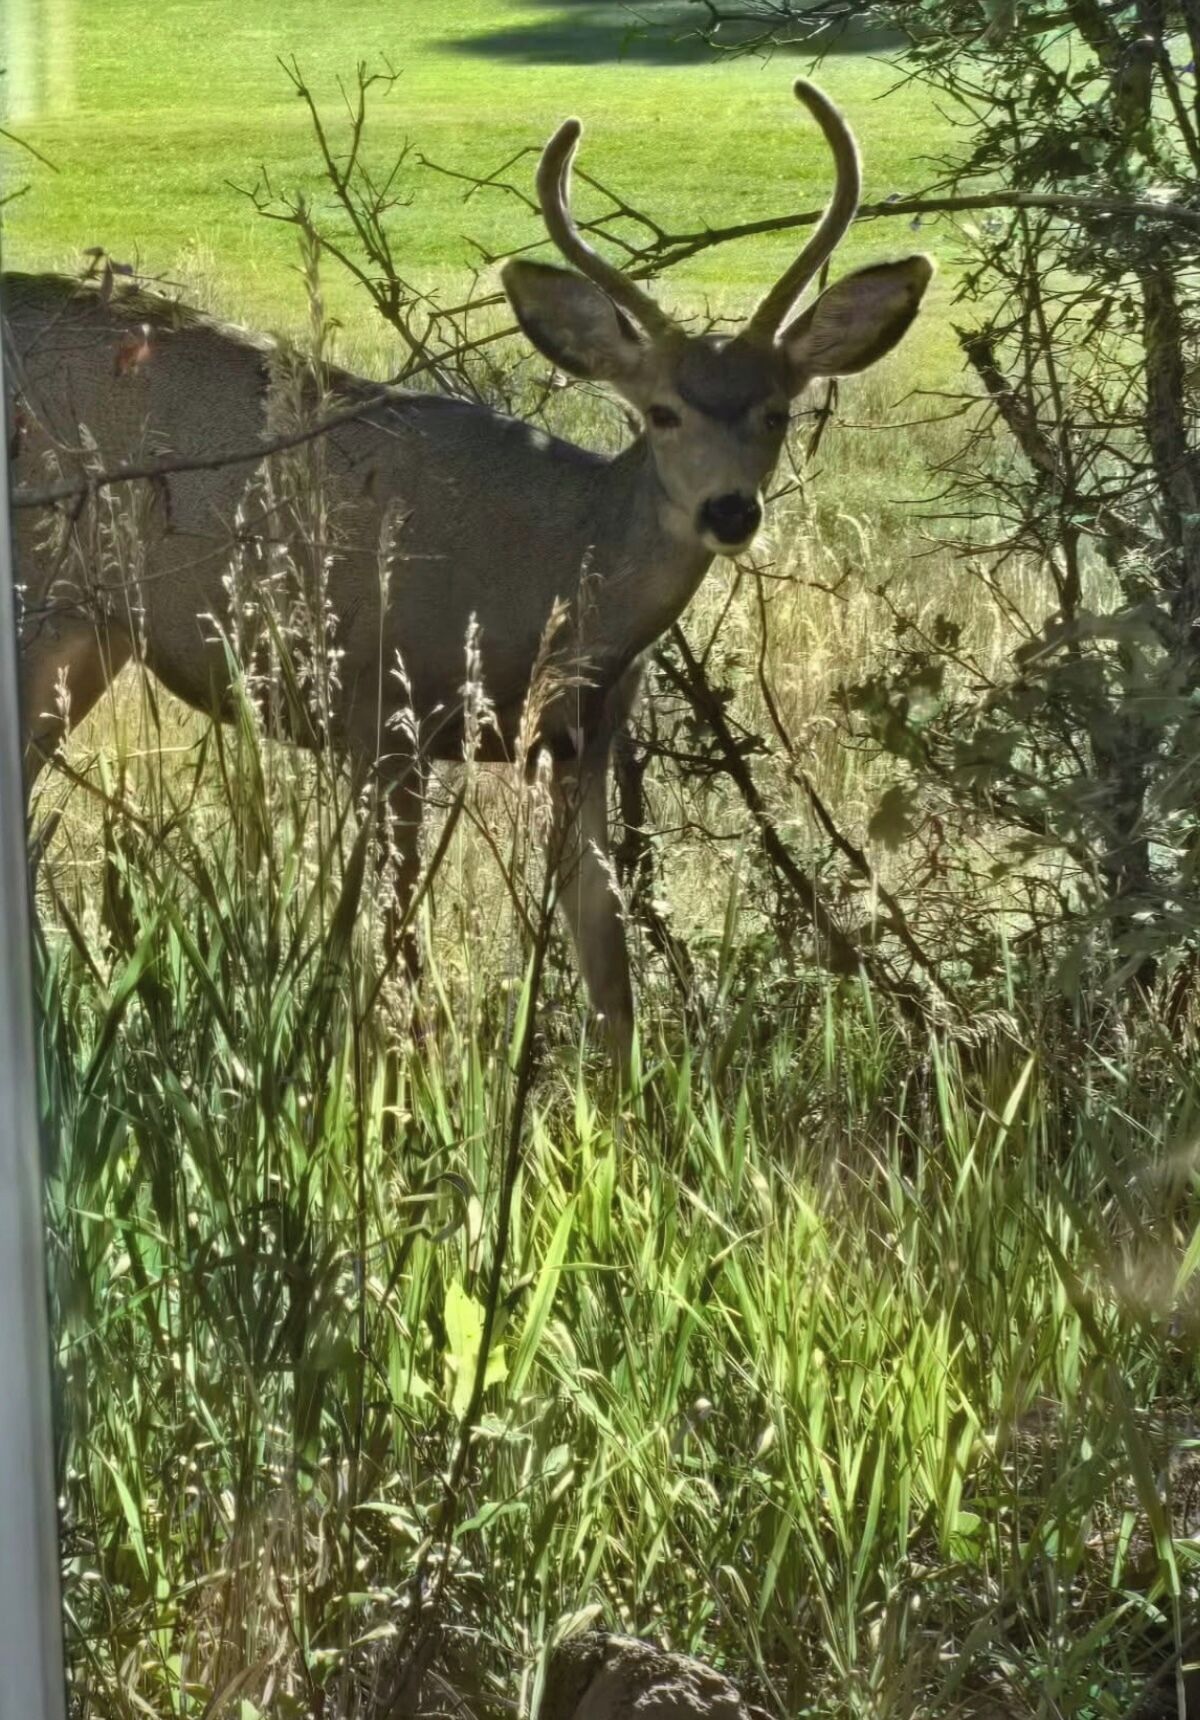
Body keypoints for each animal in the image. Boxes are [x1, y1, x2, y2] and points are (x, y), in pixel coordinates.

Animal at [4, 80, 932, 1075]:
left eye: (776, 412)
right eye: (662, 412)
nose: (729, 511)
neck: (551, 571)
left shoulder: (583, 738)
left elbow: (607, 963)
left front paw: (626, 1102)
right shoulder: (381, 706)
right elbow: (395, 938)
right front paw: (397, 1084)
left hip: (91, 636)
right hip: (38, 602)